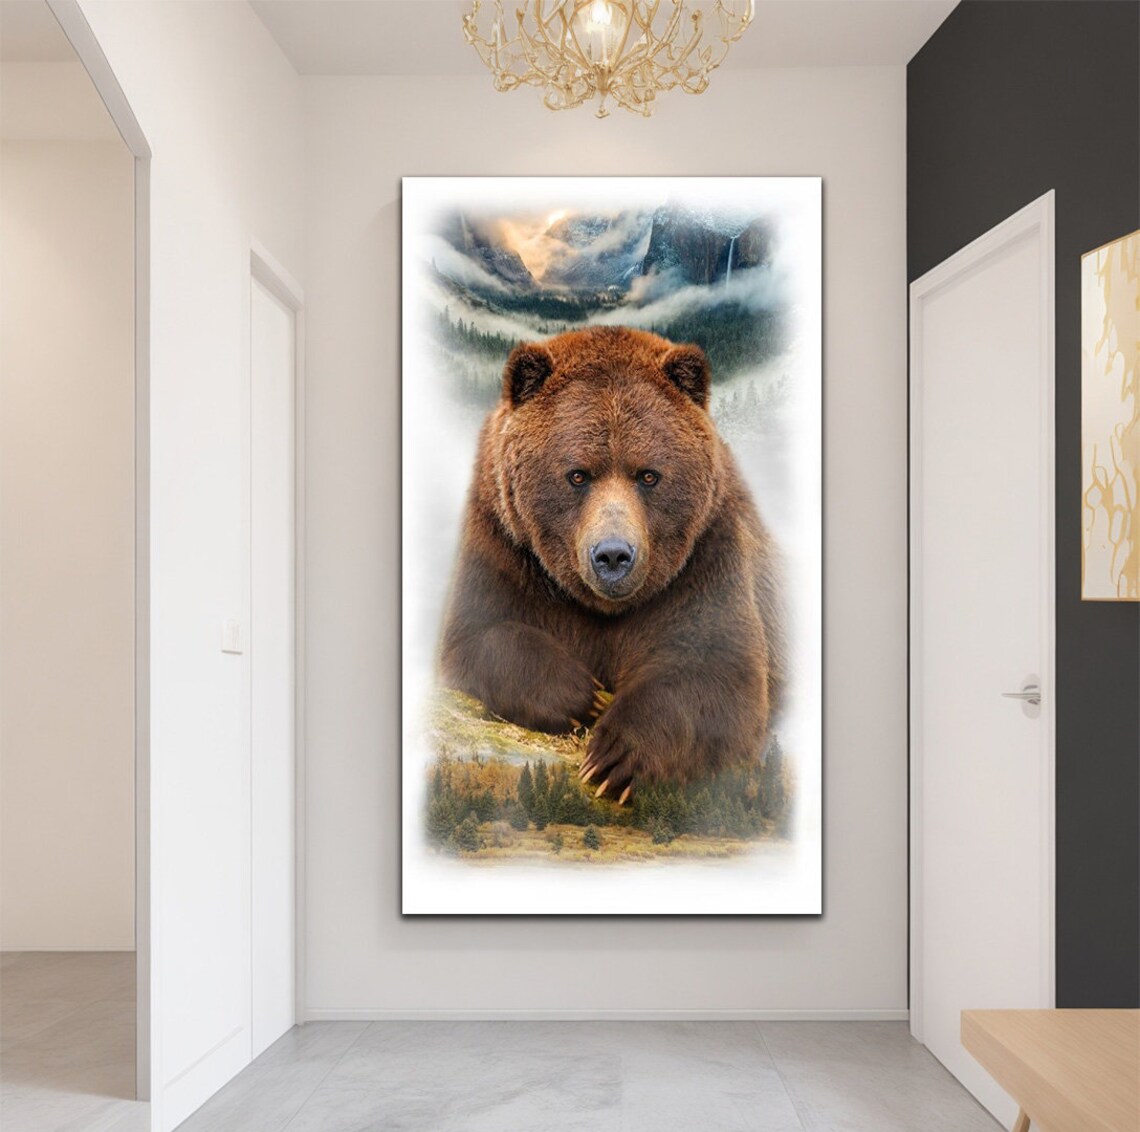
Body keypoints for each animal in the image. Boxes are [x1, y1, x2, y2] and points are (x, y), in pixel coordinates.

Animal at [438, 325, 786, 804]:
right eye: (577, 474)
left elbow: (719, 674)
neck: (602, 607)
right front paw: (585, 697)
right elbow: (480, 636)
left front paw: (616, 756)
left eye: (649, 475)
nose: (613, 556)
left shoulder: (706, 558)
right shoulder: (503, 546)